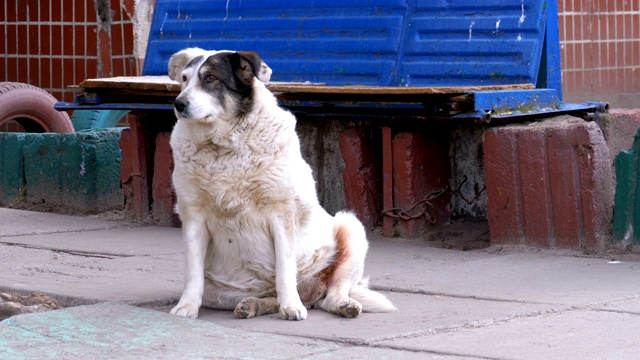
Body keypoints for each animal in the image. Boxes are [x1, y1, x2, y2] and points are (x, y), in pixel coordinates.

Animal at [166, 47, 396, 320]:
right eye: (184, 79)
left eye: (210, 78)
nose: (178, 103)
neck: (224, 148)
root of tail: (312, 294)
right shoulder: (194, 217)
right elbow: (193, 273)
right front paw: (187, 306)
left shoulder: (281, 214)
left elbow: (285, 269)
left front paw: (291, 306)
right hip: (218, 290)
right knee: (272, 296)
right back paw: (253, 304)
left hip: (351, 228)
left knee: (330, 295)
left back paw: (340, 304)